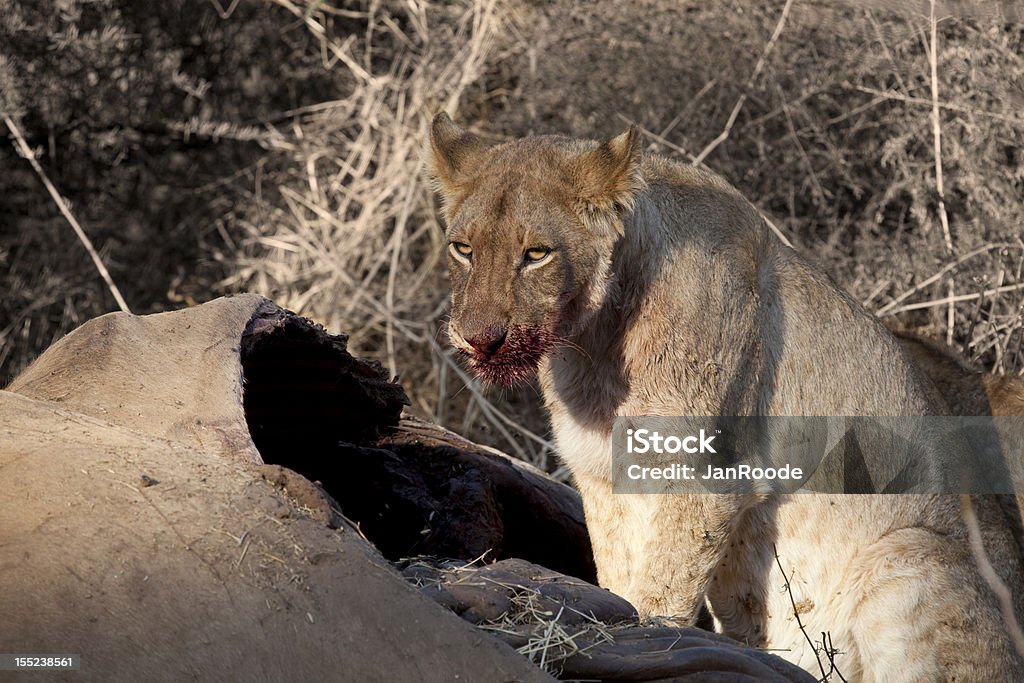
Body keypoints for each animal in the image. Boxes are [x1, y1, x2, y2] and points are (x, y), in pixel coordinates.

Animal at [425, 112, 1024, 679]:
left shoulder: (708, 477)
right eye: (462, 249)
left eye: (537, 254)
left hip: (907, 550)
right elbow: (617, 575)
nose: (479, 339)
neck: (597, 347)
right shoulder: (600, 473)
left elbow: (659, 591)